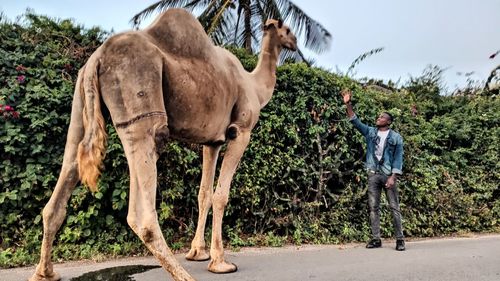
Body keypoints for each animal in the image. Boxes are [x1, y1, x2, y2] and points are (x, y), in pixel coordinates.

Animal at [30, 8, 296, 280]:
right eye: (287, 30)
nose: (295, 44)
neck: (255, 86)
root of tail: (96, 58)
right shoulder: (240, 131)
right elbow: (221, 195)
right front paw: (220, 262)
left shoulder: (212, 142)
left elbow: (204, 193)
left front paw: (198, 252)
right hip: (138, 96)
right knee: (143, 208)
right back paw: (184, 275)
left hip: (81, 103)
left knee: (67, 170)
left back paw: (45, 273)